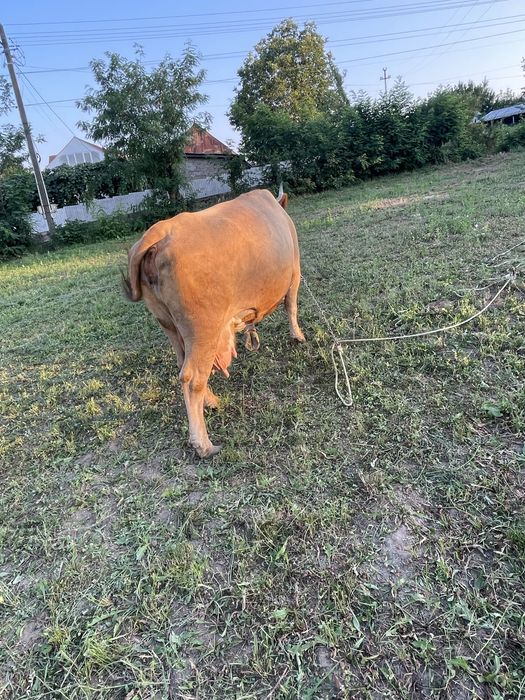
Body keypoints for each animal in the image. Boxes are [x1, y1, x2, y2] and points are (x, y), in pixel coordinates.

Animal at [123, 187, 305, 458]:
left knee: (183, 365)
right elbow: (291, 307)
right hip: (203, 330)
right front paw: (298, 336)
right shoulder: (294, 273)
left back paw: (211, 401)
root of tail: (160, 232)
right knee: (191, 378)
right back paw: (203, 443)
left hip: (169, 324)